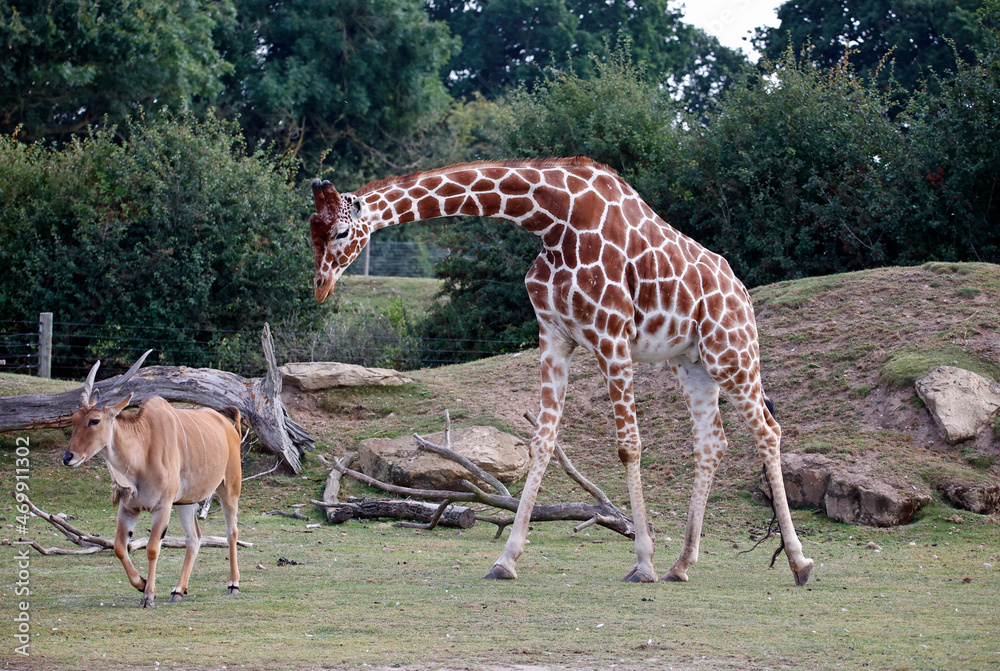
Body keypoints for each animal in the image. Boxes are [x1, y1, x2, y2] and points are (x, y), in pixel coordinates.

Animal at [308, 157, 814, 586]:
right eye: (310, 232)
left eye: (340, 233)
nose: (320, 287)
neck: (551, 220)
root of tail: (742, 292)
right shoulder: (554, 336)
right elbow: (542, 442)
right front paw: (506, 559)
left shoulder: (611, 336)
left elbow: (629, 446)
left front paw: (643, 563)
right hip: (692, 363)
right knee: (713, 442)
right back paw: (682, 564)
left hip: (732, 351)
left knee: (767, 429)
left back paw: (799, 563)